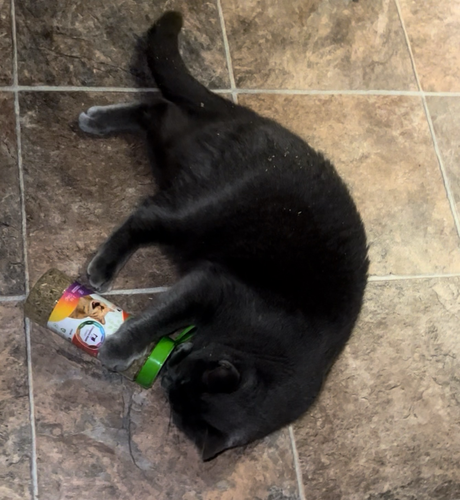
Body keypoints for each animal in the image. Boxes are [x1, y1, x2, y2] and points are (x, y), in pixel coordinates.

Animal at [77, 11, 368, 460]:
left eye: (178, 395)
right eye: (181, 377)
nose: (169, 372)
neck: (267, 346)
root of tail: (252, 117)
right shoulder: (215, 285)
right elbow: (160, 317)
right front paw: (119, 348)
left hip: (176, 156)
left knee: (156, 110)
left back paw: (97, 120)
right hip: (205, 208)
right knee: (146, 215)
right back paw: (103, 265)